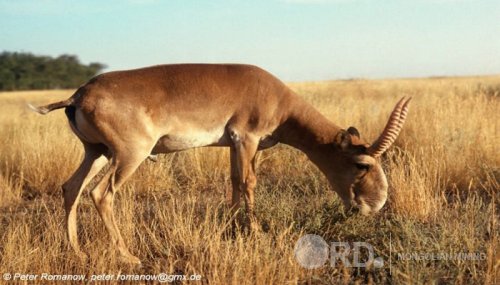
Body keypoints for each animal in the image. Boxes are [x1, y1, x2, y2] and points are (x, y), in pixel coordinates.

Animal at [29, 63, 410, 262]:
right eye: (362, 164)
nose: (375, 205)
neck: (277, 98)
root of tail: (79, 95)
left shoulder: (234, 146)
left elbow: (234, 183)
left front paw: (230, 229)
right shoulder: (247, 139)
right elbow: (249, 183)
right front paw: (255, 232)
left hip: (96, 152)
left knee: (71, 188)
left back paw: (78, 251)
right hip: (127, 156)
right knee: (100, 194)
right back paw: (128, 256)